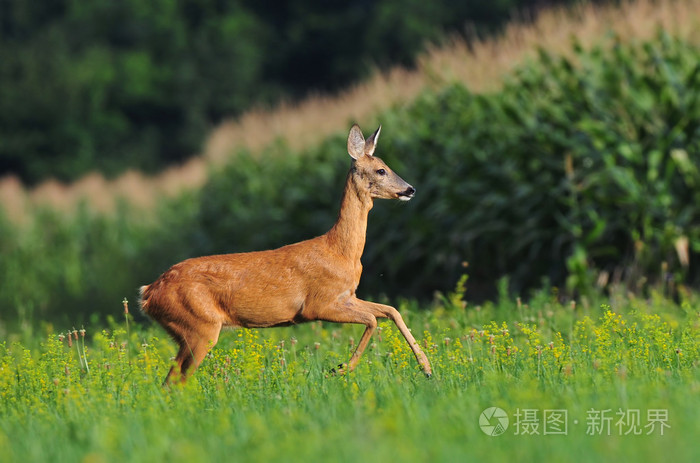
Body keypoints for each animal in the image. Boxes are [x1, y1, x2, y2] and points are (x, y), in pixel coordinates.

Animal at [139, 123, 430, 384]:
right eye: (381, 170)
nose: (411, 189)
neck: (340, 251)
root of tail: (149, 292)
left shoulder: (347, 296)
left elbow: (390, 310)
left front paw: (426, 368)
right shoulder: (318, 304)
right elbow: (372, 319)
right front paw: (339, 369)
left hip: (189, 329)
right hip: (199, 326)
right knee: (174, 381)